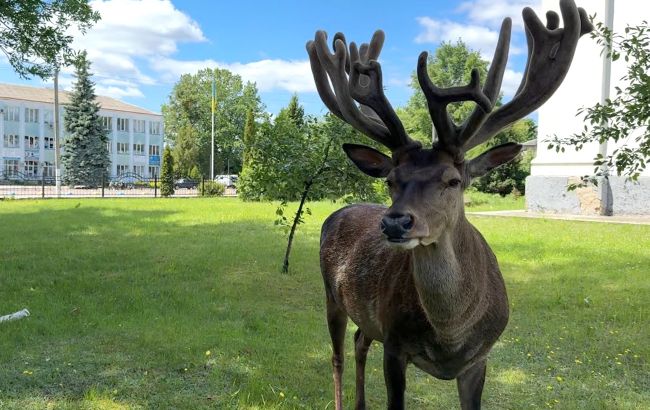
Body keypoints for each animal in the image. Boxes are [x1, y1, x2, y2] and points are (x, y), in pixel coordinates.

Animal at [306, 1, 592, 409]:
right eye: (391, 180)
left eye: (453, 180)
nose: (395, 223)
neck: (450, 334)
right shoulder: (395, 344)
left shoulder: (480, 358)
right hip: (332, 295)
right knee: (337, 356)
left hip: (367, 318)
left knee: (360, 341)